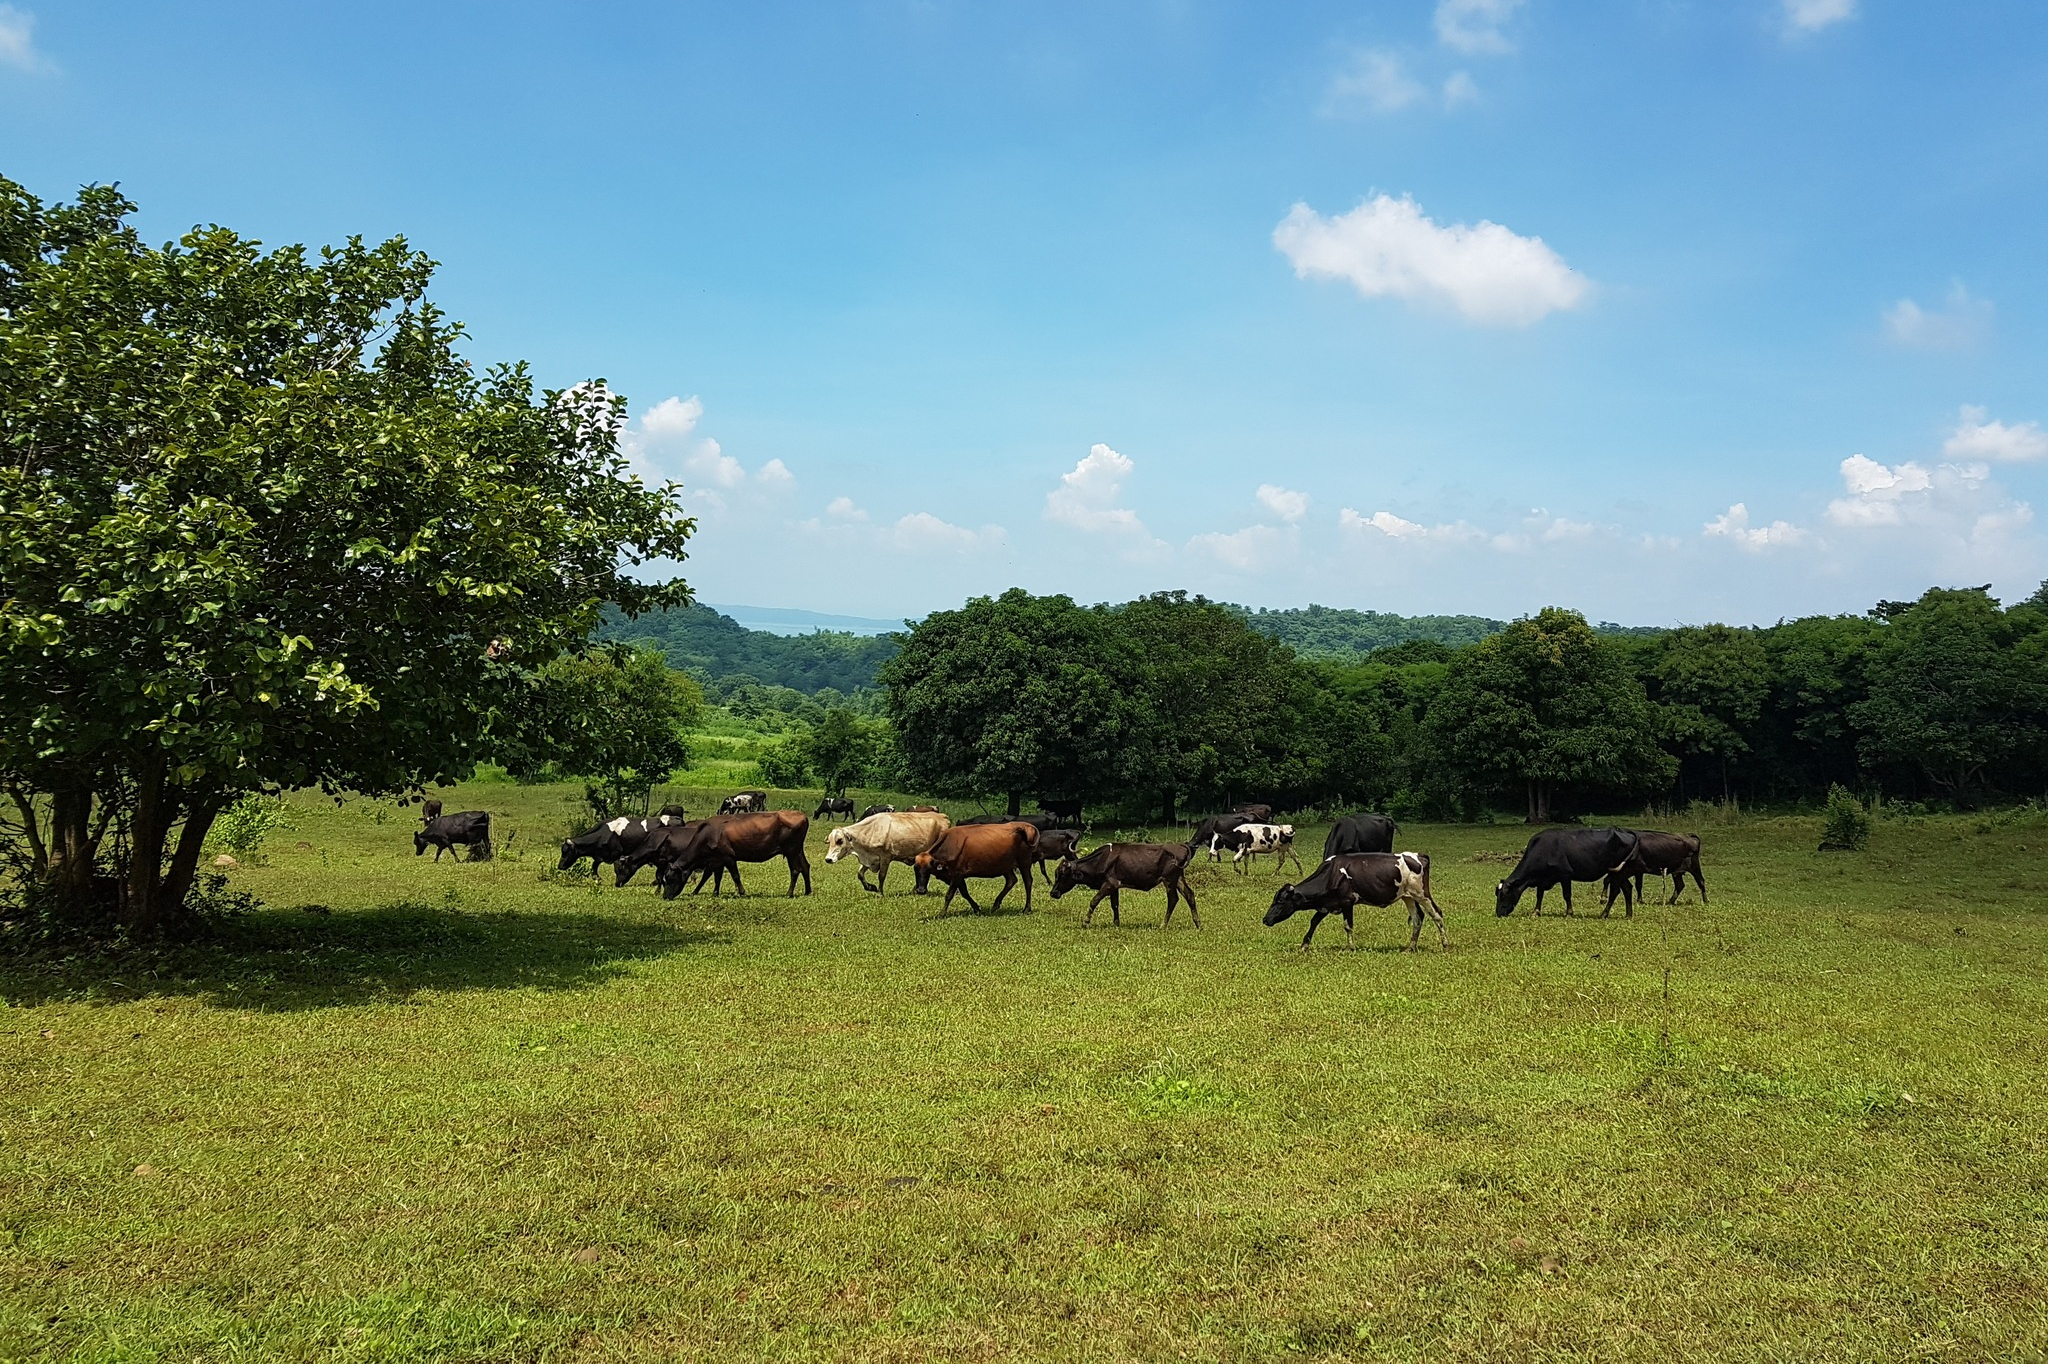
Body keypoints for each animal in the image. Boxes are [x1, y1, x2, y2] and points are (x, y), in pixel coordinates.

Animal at [650, 810, 812, 899]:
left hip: (791, 850)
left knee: (795, 870)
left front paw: (741, 892)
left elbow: (735, 876)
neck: (708, 834)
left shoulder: (728, 857)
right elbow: (712, 877)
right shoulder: (716, 860)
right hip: (798, 850)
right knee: (805, 867)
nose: (665, 896)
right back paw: (807, 891)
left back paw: (789, 893)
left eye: (670, 879)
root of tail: (801, 815)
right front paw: (708, 892)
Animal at [824, 810, 953, 894]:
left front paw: (880, 893)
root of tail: (943, 816)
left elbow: (881, 876)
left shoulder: (885, 857)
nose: (828, 859)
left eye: (840, 840)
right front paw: (870, 887)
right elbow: (860, 874)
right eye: (829, 841)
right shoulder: (872, 859)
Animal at [1050, 842, 1198, 928]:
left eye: (1062, 875)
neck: (1101, 859)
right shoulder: (1114, 887)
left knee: (1173, 899)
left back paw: (1163, 925)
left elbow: (1094, 901)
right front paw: (1116, 924)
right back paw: (1198, 924)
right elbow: (1115, 905)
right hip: (1178, 879)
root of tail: (1181, 846)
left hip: (1169, 880)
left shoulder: (1109, 884)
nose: (1053, 893)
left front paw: (1086, 922)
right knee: (1190, 895)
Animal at [1263, 851, 1444, 951]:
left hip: (1422, 893)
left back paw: (1445, 945)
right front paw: (1304, 945)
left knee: (1437, 914)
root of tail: (1418, 855)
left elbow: (1348, 926)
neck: (1332, 874)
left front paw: (1350, 947)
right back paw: (1410, 947)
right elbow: (1314, 922)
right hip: (1408, 896)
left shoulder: (1347, 902)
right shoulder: (1327, 905)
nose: (1265, 919)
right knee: (1418, 918)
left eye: (1280, 901)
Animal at [1495, 827, 1642, 918]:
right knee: (1627, 889)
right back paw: (1628, 914)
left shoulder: (1565, 875)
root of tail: (1626, 833)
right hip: (1621, 873)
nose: (1498, 913)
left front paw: (1569, 913)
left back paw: (1604, 914)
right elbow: (1539, 895)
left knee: (1615, 892)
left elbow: (1566, 895)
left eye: (1504, 894)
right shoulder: (1542, 879)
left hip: (1618, 872)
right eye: (1497, 894)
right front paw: (1536, 912)